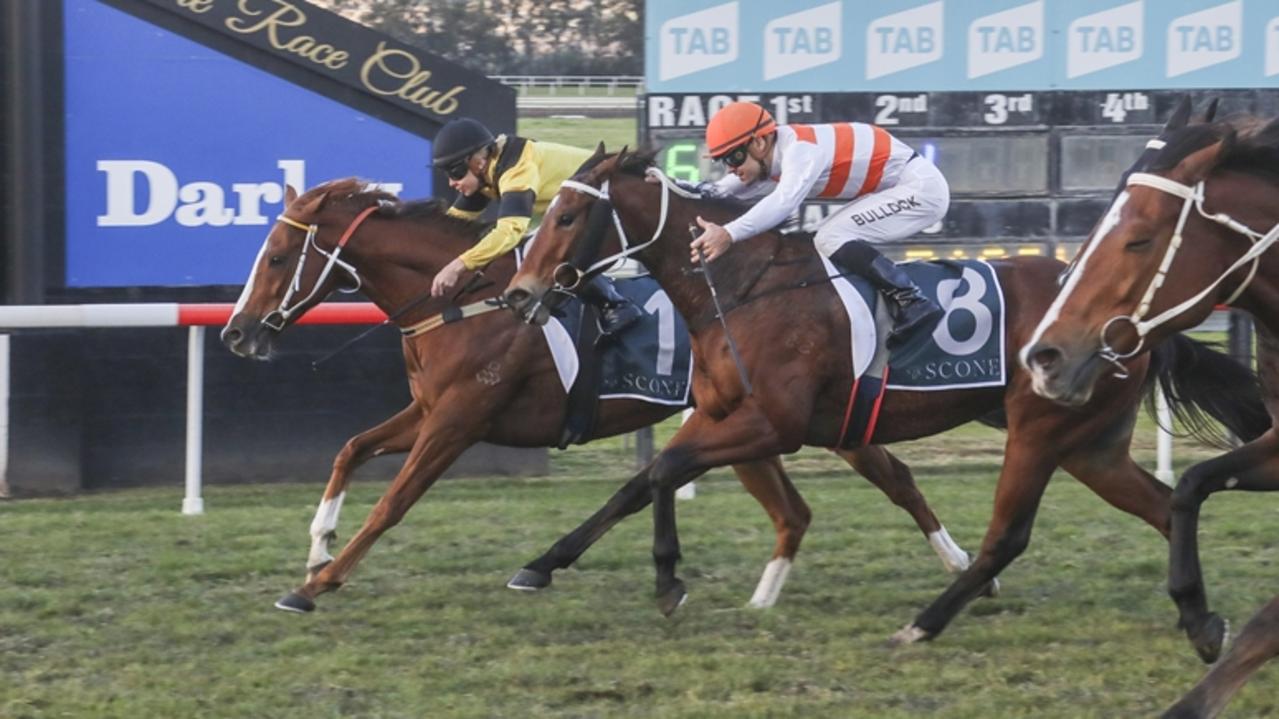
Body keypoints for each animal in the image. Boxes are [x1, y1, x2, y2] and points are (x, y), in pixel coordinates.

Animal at [222, 177, 977, 608]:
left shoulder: (459, 419)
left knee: (883, 480)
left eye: (279, 257)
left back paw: (962, 564)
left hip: (791, 415)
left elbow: (393, 501)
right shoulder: (431, 409)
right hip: (774, 419)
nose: (236, 331)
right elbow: (351, 447)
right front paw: (319, 543)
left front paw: (317, 584)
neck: (462, 300)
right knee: (841, 492)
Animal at [501, 140, 1268, 637]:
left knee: (1033, 527)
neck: (737, 288)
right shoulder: (721, 410)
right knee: (1166, 507)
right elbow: (640, 483)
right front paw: (541, 565)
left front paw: (666, 580)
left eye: (566, 217)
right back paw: (1198, 614)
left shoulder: (772, 422)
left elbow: (662, 471)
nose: (519, 292)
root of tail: (1132, 324)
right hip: (1091, 445)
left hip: (1045, 428)